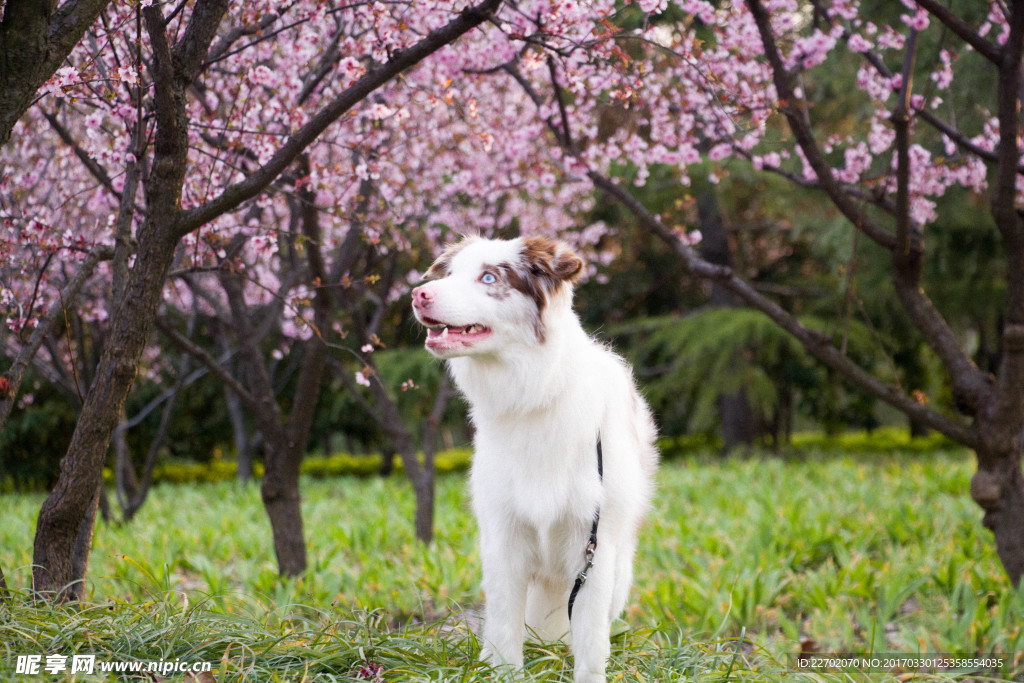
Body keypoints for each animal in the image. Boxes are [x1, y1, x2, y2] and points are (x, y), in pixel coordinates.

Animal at [413, 236, 659, 683]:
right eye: (449, 274)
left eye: (488, 277)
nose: (418, 295)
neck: (534, 395)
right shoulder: (502, 540)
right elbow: (504, 630)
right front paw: (502, 670)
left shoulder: (593, 549)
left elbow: (591, 643)